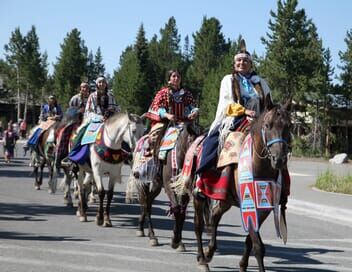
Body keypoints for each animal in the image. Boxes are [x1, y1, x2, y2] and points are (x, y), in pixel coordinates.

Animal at [192, 98, 292, 272]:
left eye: (288, 126)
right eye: (268, 125)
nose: (279, 159)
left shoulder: (264, 208)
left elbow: (250, 240)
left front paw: (242, 265)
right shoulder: (249, 201)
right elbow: (258, 246)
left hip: (226, 199)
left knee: (215, 215)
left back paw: (209, 251)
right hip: (199, 196)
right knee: (198, 225)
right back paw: (203, 260)